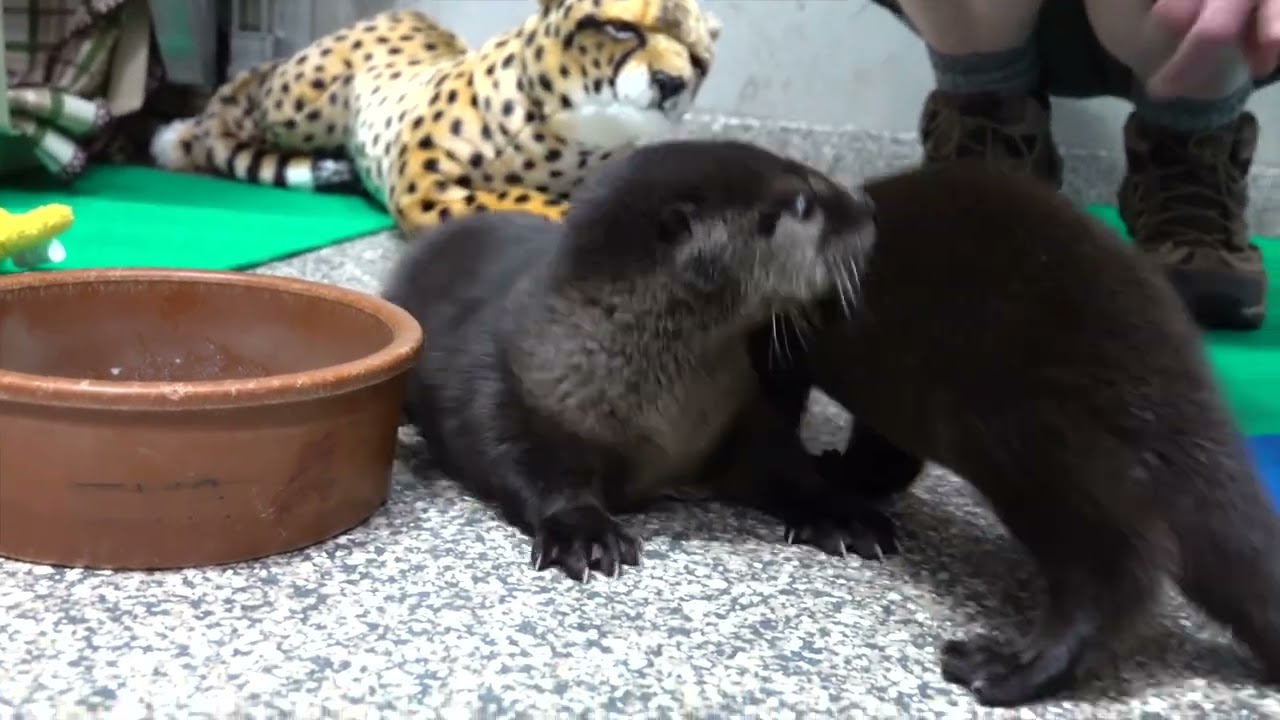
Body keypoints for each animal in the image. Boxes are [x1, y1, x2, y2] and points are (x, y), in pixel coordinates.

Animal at [382, 139, 887, 582]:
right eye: (803, 203)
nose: (869, 209)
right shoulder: (505, 393)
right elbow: (523, 466)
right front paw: (583, 532)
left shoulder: (742, 413)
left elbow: (785, 462)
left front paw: (841, 512)